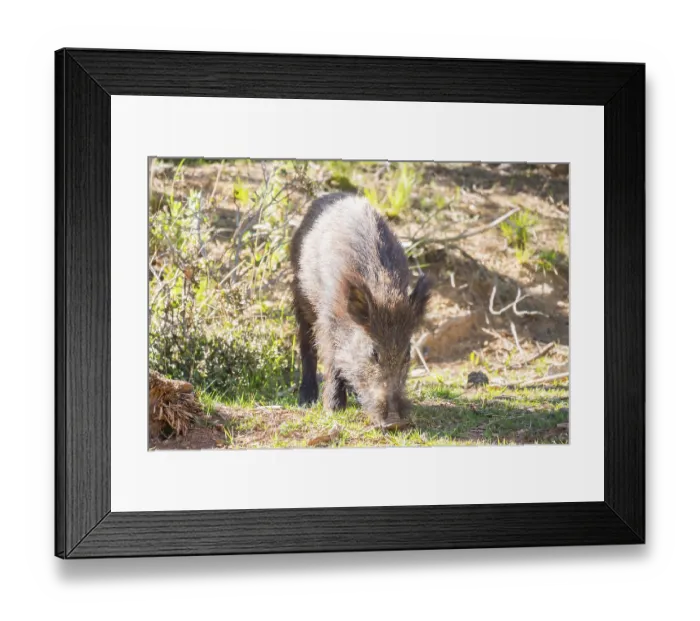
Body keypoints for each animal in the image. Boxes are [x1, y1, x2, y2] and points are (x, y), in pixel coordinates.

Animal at [290, 192, 431, 430]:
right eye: (374, 353)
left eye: (407, 354)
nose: (395, 422)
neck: (384, 291)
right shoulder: (327, 321)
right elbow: (332, 361)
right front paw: (333, 409)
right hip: (301, 298)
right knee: (306, 346)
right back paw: (307, 399)